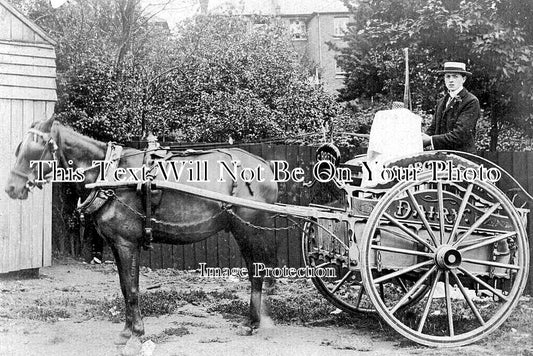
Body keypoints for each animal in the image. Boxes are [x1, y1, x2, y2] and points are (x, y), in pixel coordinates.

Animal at [5, 116, 278, 354]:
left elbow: (133, 289)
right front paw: (126, 332)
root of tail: (265, 166)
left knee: (257, 272)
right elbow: (125, 288)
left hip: (249, 231)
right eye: (20, 148)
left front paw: (136, 334)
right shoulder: (117, 245)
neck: (111, 174)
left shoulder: (127, 244)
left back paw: (252, 322)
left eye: (35, 149)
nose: (10, 188)